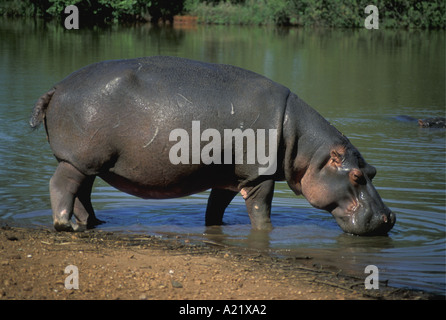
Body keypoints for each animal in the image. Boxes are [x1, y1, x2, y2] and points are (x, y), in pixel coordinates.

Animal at [29, 55, 396, 235]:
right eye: (356, 177)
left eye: (373, 170)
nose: (389, 218)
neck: (308, 149)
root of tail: (57, 87)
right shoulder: (260, 176)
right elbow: (260, 211)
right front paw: (267, 231)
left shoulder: (231, 177)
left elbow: (215, 209)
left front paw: (217, 228)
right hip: (78, 159)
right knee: (61, 185)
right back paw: (65, 226)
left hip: (89, 163)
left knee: (82, 193)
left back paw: (93, 224)